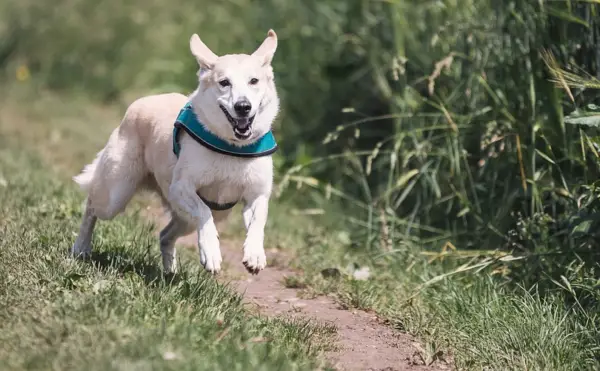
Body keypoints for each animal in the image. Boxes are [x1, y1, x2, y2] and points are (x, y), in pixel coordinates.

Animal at [71, 29, 282, 276]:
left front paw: (255, 255)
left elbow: (258, 223)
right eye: (224, 83)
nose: (243, 106)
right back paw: (81, 248)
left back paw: (170, 273)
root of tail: (139, 103)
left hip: (189, 217)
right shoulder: (182, 188)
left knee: (165, 235)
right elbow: (203, 212)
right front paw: (211, 253)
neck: (232, 147)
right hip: (116, 193)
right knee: (92, 206)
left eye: (254, 81)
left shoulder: (257, 194)